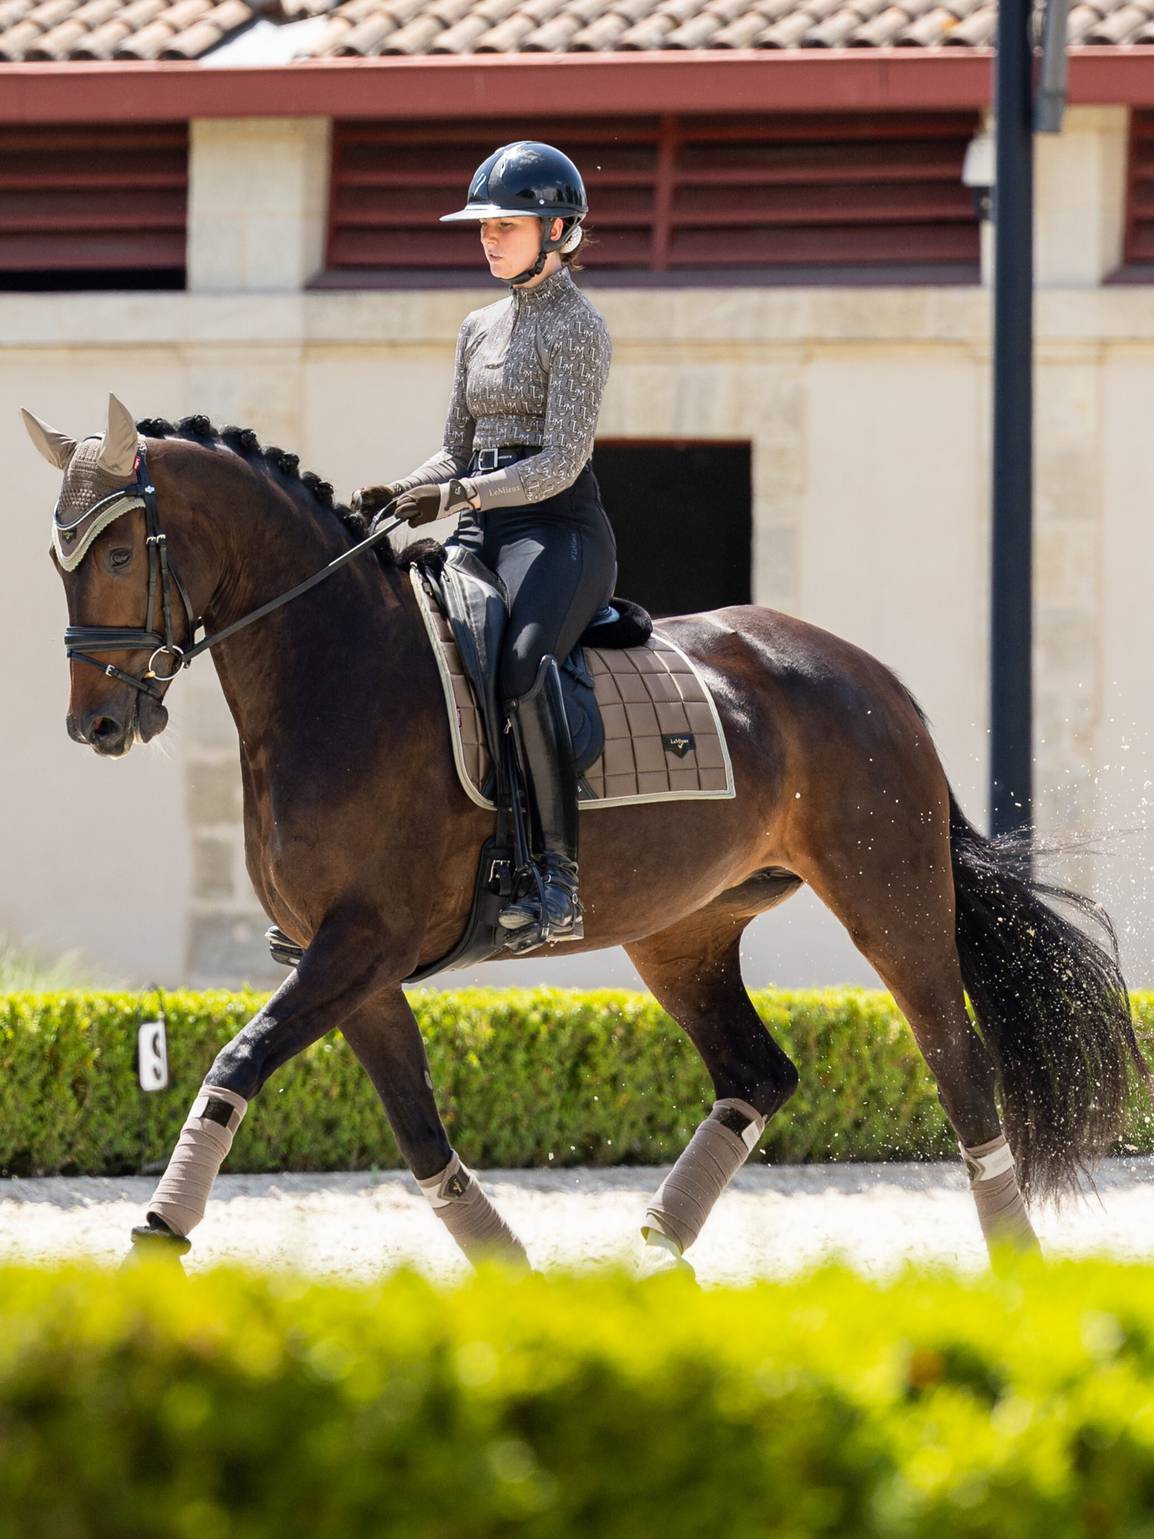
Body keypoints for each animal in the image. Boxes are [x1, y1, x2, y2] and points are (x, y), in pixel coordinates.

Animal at [23, 393, 1149, 1270]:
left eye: (117, 551)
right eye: (58, 560)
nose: (98, 725)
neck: (337, 669)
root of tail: (869, 676)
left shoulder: (362, 943)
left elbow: (236, 1061)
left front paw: (160, 1231)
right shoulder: (348, 963)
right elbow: (417, 1131)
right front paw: (510, 1276)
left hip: (892, 901)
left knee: (957, 1065)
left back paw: (1012, 1262)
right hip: (682, 933)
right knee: (757, 1074)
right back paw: (652, 1253)